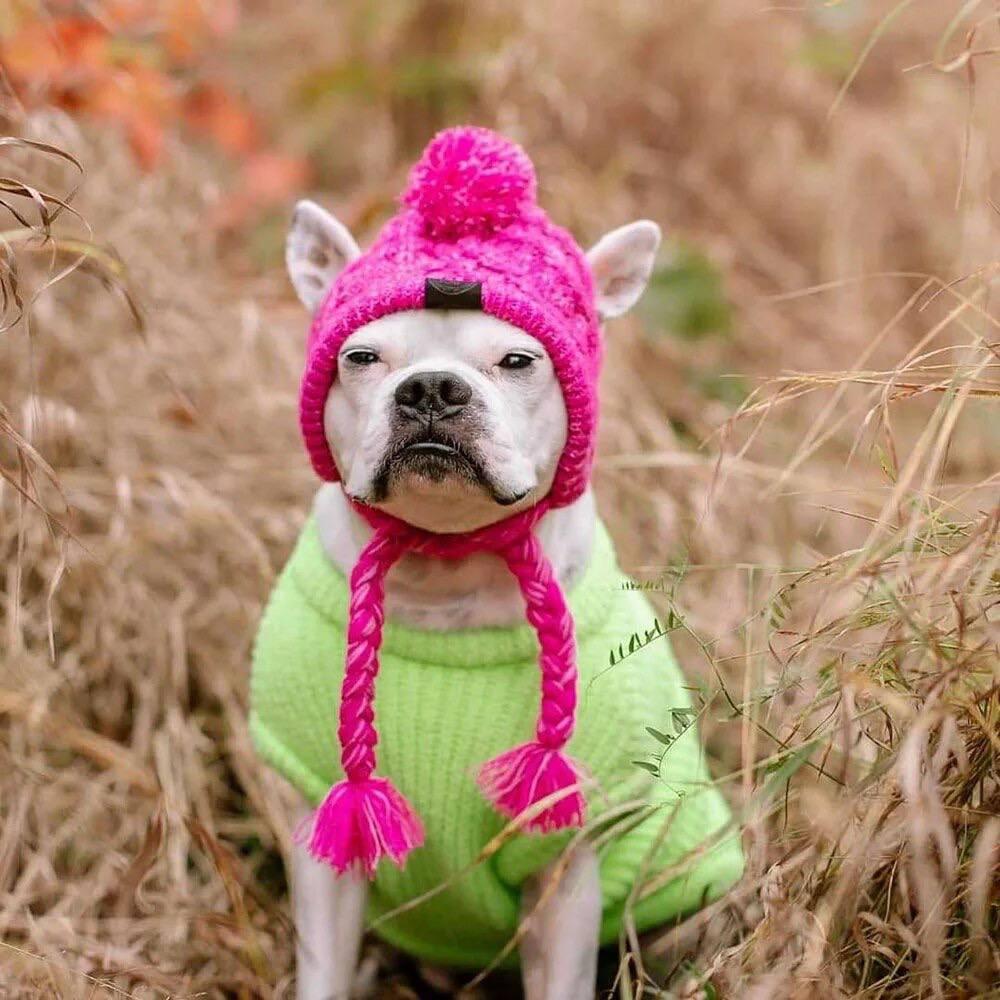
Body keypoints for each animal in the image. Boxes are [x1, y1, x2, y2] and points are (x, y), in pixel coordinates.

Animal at [256, 129, 744, 1000]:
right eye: (362, 356)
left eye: (518, 361)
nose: (431, 388)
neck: (445, 572)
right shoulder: (322, 838)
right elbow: (323, 969)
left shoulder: (568, 859)